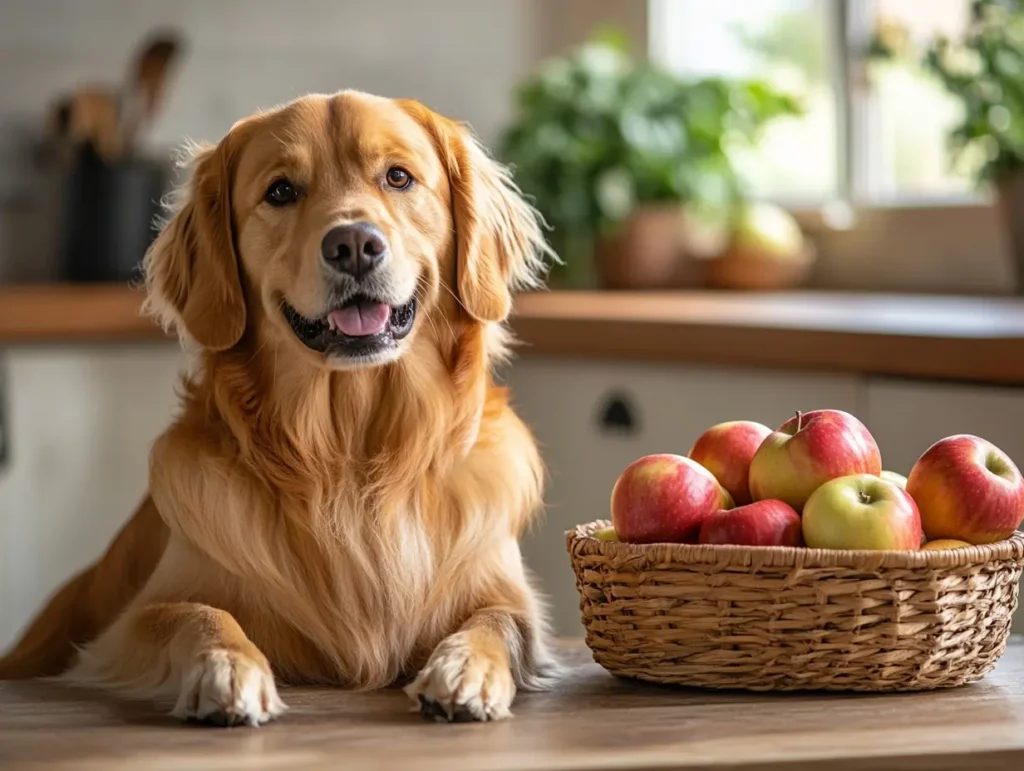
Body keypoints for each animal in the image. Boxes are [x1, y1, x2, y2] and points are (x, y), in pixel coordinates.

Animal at [0, 91, 557, 729]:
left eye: (398, 177)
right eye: (282, 191)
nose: (354, 245)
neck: (350, 456)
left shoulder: (509, 595)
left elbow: (502, 621)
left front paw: (465, 670)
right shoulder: (130, 625)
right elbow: (197, 614)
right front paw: (226, 670)